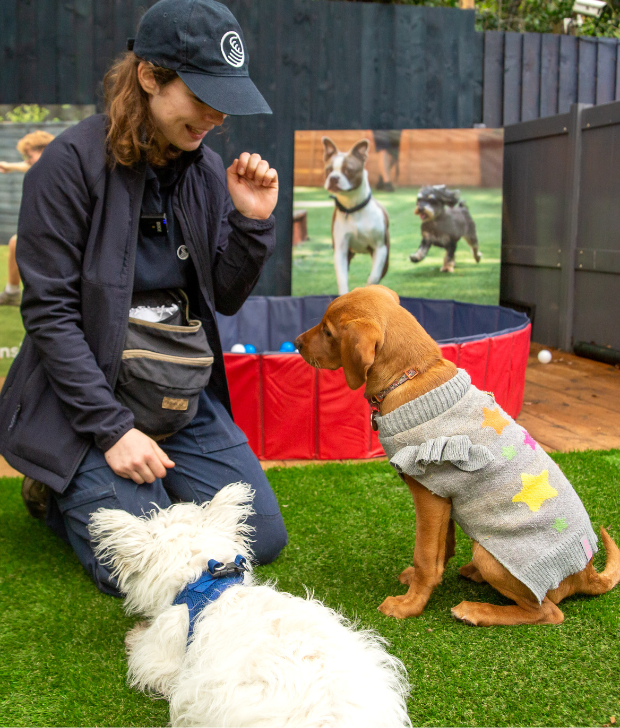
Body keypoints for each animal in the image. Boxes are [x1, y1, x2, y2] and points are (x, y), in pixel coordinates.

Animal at [294, 284, 620, 624]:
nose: (297, 343)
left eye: (328, 331)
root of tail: (586, 573)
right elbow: (441, 547)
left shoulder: (429, 495)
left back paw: (476, 610)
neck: (412, 375)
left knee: (547, 612)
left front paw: (409, 605)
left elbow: (425, 555)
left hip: (492, 556)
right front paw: (424, 582)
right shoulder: (443, 498)